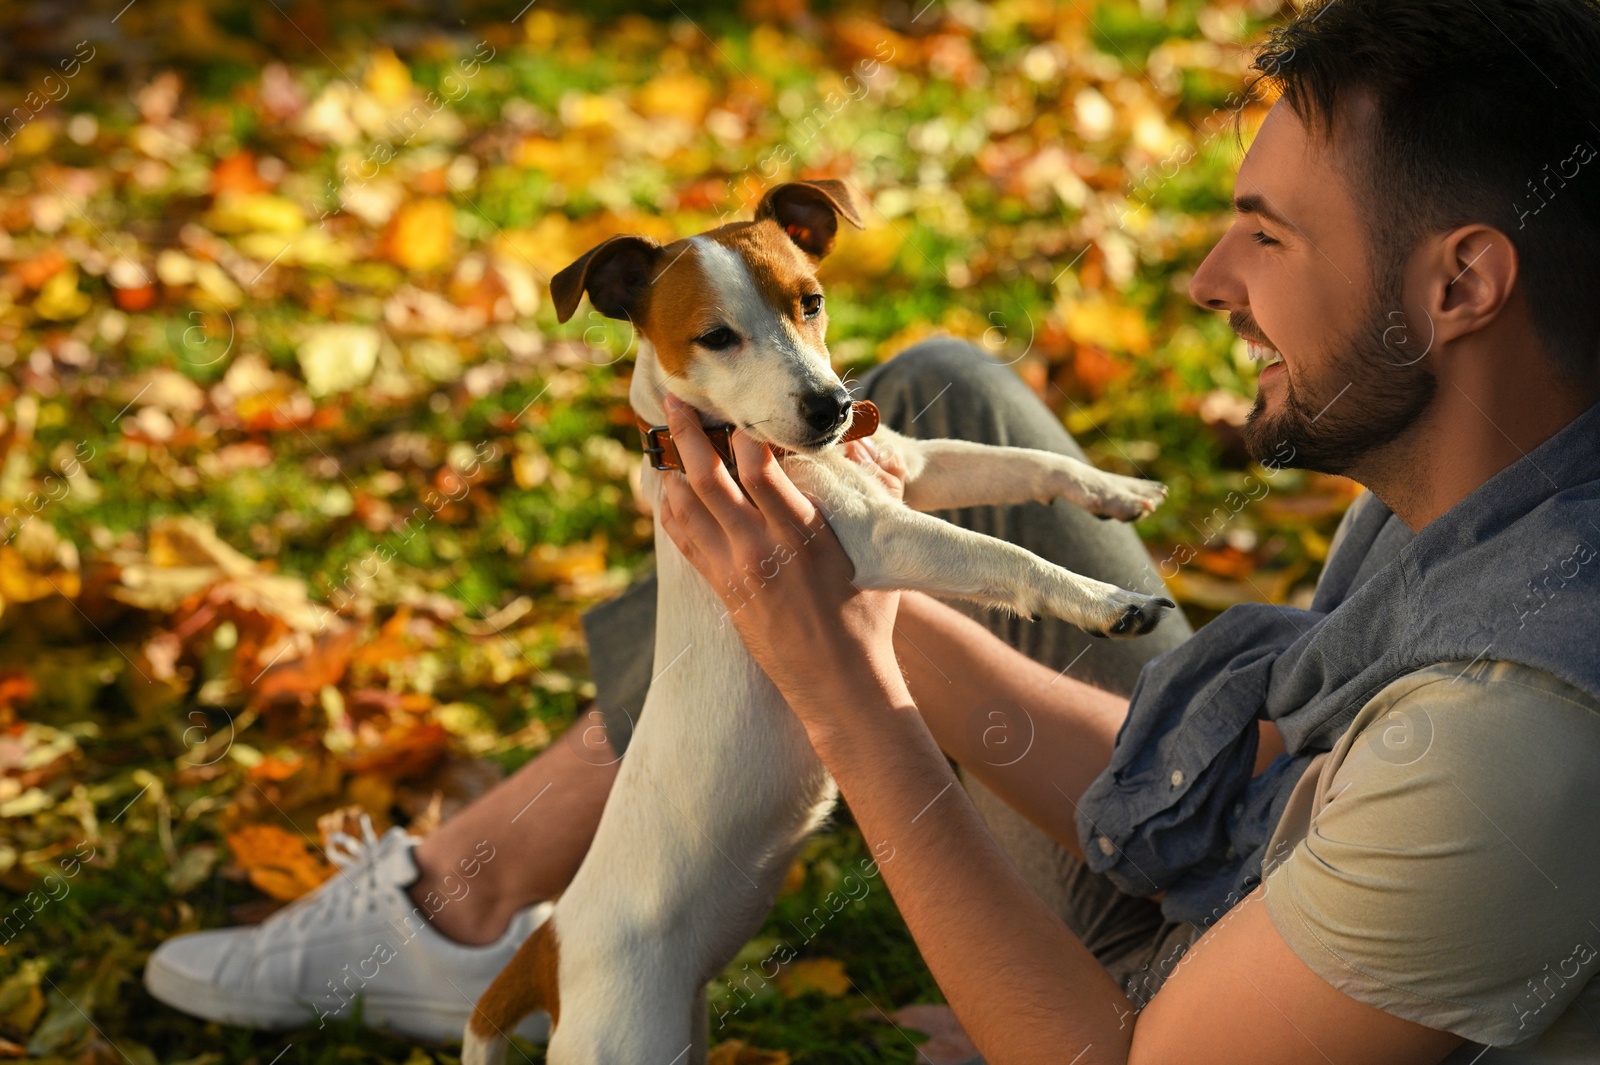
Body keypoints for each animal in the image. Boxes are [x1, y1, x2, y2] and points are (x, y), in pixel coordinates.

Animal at [464, 178, 1177, 1055]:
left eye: (811, 301)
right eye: (717, 337)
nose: (833, 406)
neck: (736, 446)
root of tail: (549, 946)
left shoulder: (911, 466)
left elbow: (1022, 464)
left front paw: (1114, 487)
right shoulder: (881, 534)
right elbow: (1009, 559)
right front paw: (1109, 602)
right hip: (630, 1038)